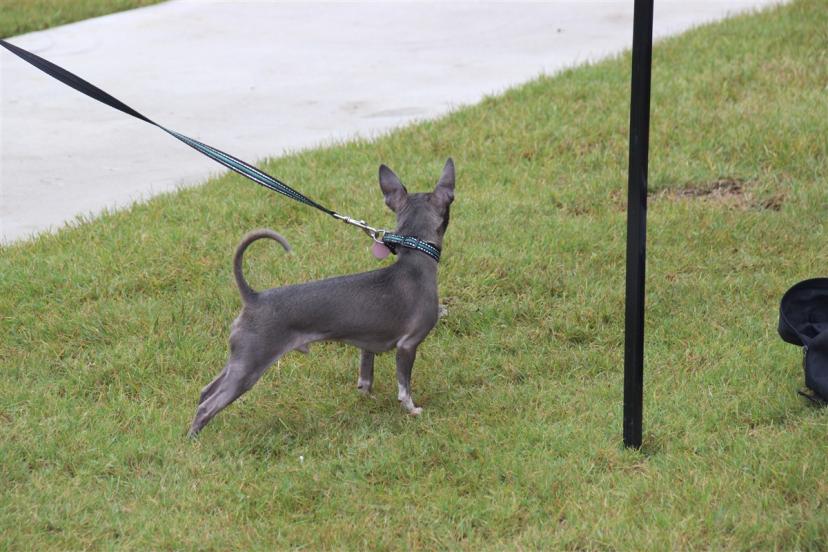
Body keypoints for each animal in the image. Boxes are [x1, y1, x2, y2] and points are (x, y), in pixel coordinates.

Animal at [188, 159, 455, 436]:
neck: (414, 262)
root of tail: (253, 297)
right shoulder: (408, 345)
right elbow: (404, 385)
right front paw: (412, 409)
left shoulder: (367, 345)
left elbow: (365, 376)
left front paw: (367, 397)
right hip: (249, 366)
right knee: (207, 406)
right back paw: (194, 440)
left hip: (239, 358)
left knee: (205, 391)